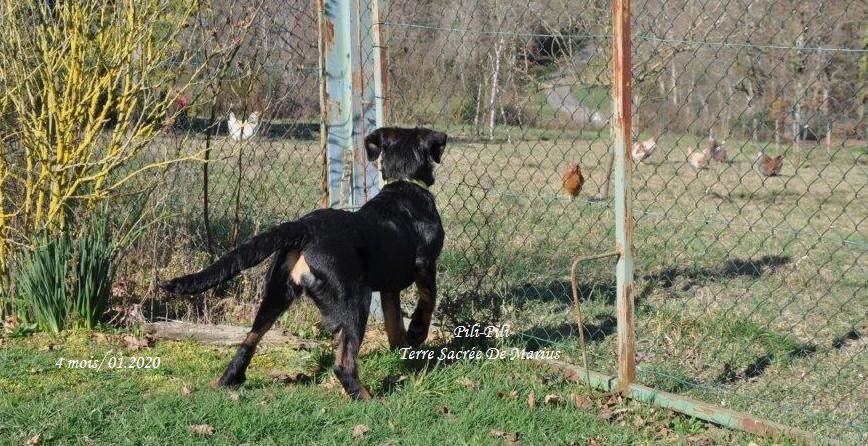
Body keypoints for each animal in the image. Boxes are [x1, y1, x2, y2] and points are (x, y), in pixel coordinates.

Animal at [159, 127, 447, 400]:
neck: (404, 183)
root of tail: (304, 227)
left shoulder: (389, 287)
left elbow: (393, 322)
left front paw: (403, 346)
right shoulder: (425, 263)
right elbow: (428, 299)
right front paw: (418, 332)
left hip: (277, 293)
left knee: (249, 338)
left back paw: (229, 380)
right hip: (355, 298)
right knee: (343, 363)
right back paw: (368, 398)